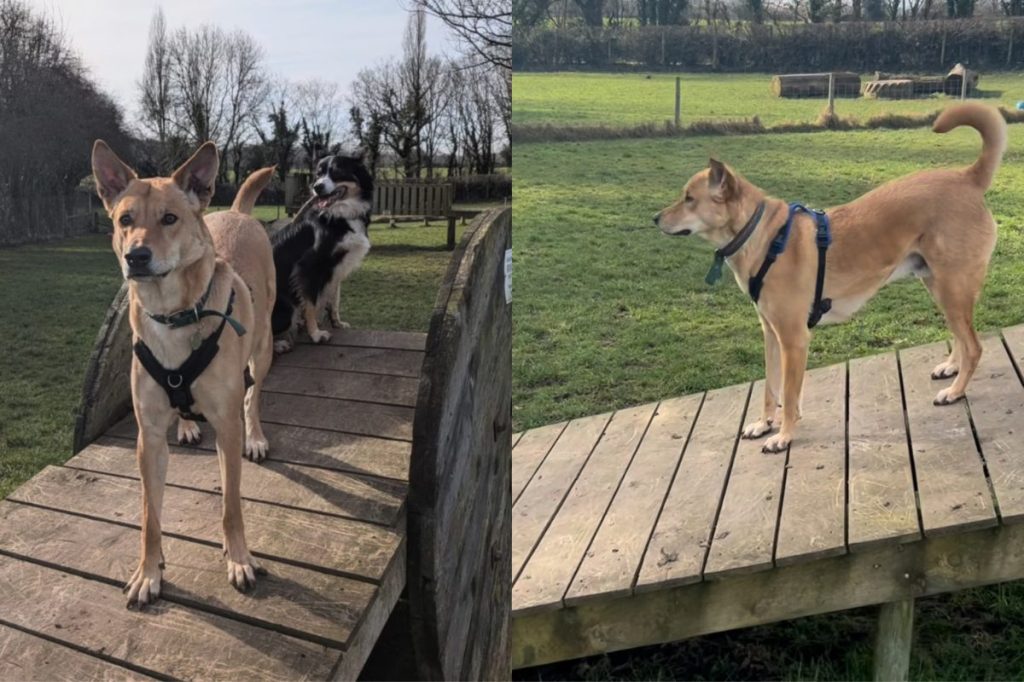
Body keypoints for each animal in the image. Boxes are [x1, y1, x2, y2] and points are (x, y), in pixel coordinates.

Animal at [91, 139, 274, 606]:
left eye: (169, 218)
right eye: (125, 219)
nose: (136, 256)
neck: (172, 314)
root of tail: (237, 213)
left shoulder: (226, 425)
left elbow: (231, 505)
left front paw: (239, 557)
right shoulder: (149, 438)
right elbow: (149, 515)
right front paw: (148, 571)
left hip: (262, 346)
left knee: (255, 395)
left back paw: (257, 435)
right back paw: (188, 426)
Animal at [272, 150, 372, 348]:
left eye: (337, 171)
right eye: (318, 174)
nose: (316, 187)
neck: (340, 214)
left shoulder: (337, 268)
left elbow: (334, 298)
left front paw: (337, 323)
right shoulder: (308, 267)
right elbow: (311, 304)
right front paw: (316, 334)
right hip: (285, 307)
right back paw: (279, 344)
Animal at [655, 104, 1007, 450]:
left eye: (689, 198)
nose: (655, 218)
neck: (762, 235)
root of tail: (967, 177)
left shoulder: (794, 338)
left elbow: (789, 394)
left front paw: (783, 436)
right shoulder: (771, 332)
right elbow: (771, 388)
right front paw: (764, 424)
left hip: (951, 288)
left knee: (974, 345)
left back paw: (956, 391)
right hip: (938, 285)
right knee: (962, 336)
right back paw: (951, 367)